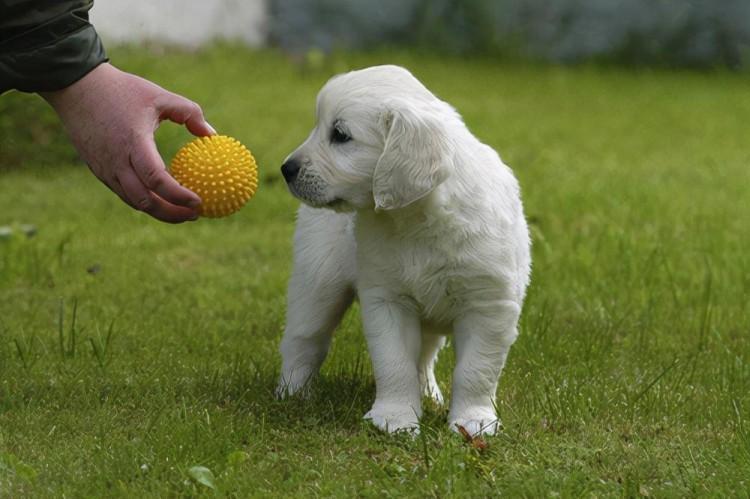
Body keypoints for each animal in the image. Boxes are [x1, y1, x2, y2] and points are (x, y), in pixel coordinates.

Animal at [280, 66, 532, 438]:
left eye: (339, 135)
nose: (286, 169)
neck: (418, 219)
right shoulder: (387, 299)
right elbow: (394, 361)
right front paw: (395, 418)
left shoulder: (489, 304)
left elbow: (476, 370)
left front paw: (473, 420)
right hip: (318, 281)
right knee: (304, 340)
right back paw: (292, 394)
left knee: (424, 356)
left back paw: (428, 395)